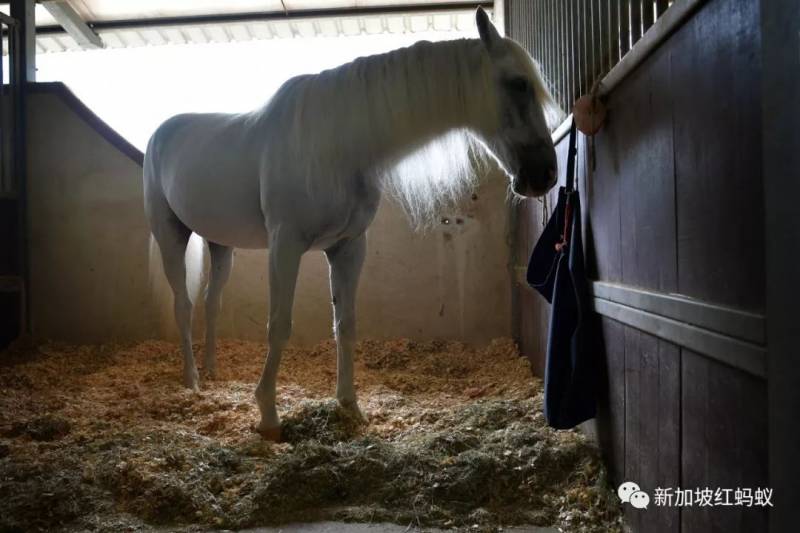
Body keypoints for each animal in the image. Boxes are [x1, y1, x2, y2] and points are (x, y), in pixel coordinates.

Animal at [143, 8, 560, 440]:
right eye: (519, 83)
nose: (545, 174)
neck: (336, 146)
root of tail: (161, 133)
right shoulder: (285, 246)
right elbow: (280, 326)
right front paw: (269, 416)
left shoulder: (347, 246)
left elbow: (345, 324)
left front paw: (349, 406)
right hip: (170, 234)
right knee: (183, 304)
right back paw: (192, 380)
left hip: (220, 244)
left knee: (212, 302)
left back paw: (211, 371)